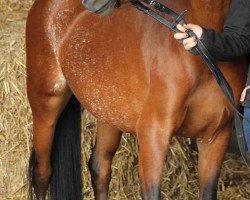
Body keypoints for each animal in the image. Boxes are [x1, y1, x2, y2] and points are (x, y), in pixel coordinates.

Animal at [25, 0, 246, 199]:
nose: (91, 2)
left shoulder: (216, 136)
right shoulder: (153, 134)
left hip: (109, 112)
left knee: (99, 168)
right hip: (46, 104)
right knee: (42, 173)